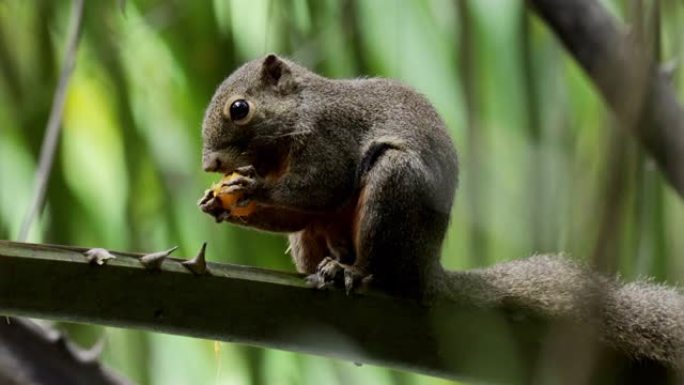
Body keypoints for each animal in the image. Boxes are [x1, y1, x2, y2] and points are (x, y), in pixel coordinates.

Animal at [199, 53, 684, 376]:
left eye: (239, 109)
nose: (209, 165)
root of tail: (427, 272)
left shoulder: (329, 138)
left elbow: (320, 189)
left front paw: (251, 188)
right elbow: (292, 215)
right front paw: (219, 203)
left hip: (394, 189)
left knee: (381, 271)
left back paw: (352, 272)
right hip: (318, 241)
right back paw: (325, 268)